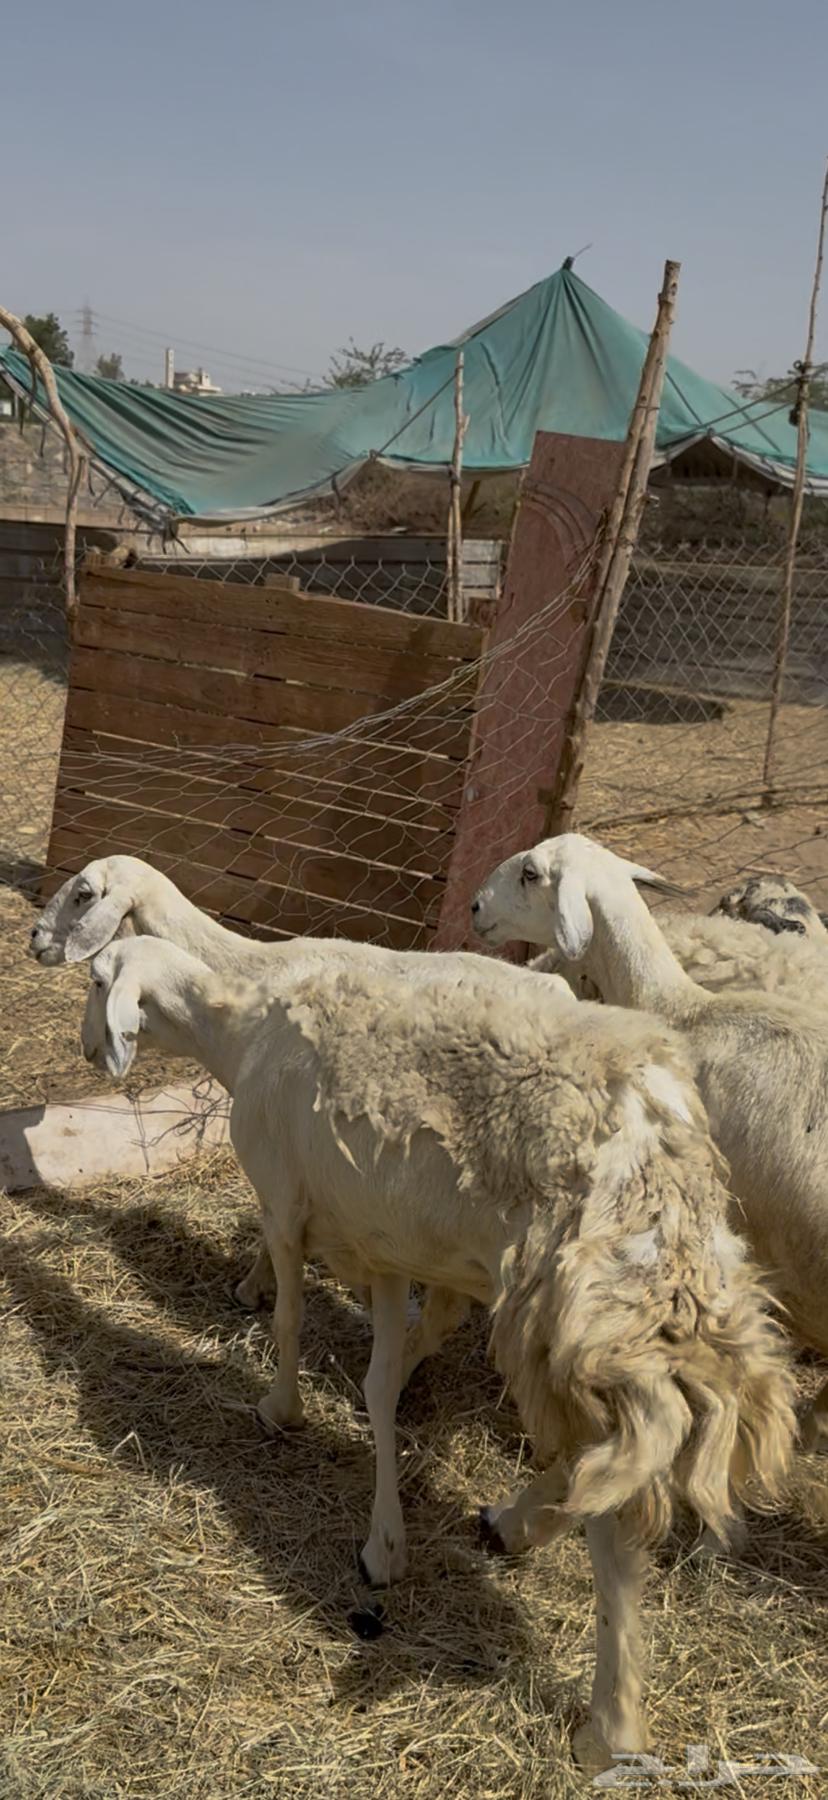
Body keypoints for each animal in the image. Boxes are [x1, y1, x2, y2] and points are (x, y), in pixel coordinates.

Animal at [81, 934, 795, 1771]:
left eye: (95, 981)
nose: (88, 1047)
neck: (238, 1028)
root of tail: (664, 1165)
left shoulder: (284, 1204)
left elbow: (289, 1321)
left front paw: (281, 1411)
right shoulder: (385, 1243)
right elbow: (383, 1377)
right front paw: (386, 1526)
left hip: (572, 1305)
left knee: (615, 1511)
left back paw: (610, 1726)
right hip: (617, 1321)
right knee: (601, 1459)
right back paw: (519, 1524)